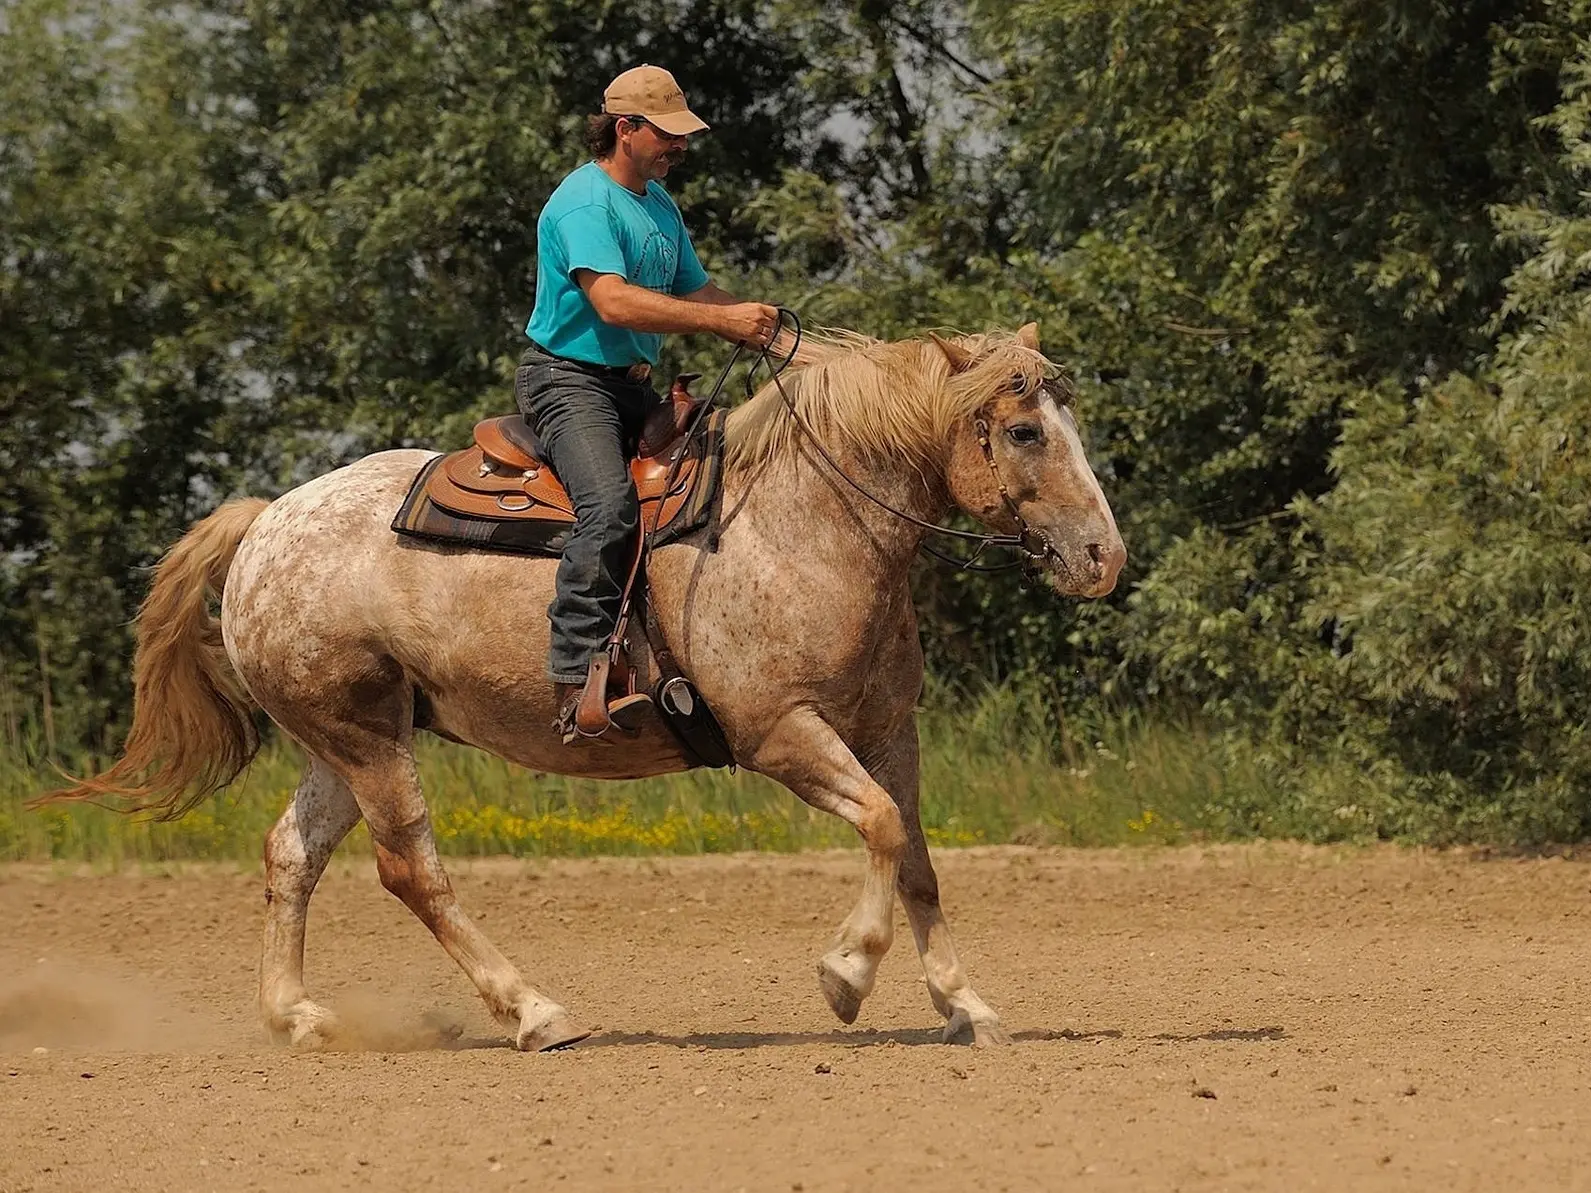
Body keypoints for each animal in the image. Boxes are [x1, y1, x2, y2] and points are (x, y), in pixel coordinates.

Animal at [56, 322, 1126, 1049]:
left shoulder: (886, 730)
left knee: (292, 854)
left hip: (349, 738)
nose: (1101, 556)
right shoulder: (781, 732)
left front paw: (966, 1004)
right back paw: (535, 1011)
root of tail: (266, 521)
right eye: (1023, 430)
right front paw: (846, 973)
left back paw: (300, 1017)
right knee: (413, 870)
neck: (803, 520)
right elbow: (878, 826)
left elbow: (915, 857)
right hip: (364, 738)